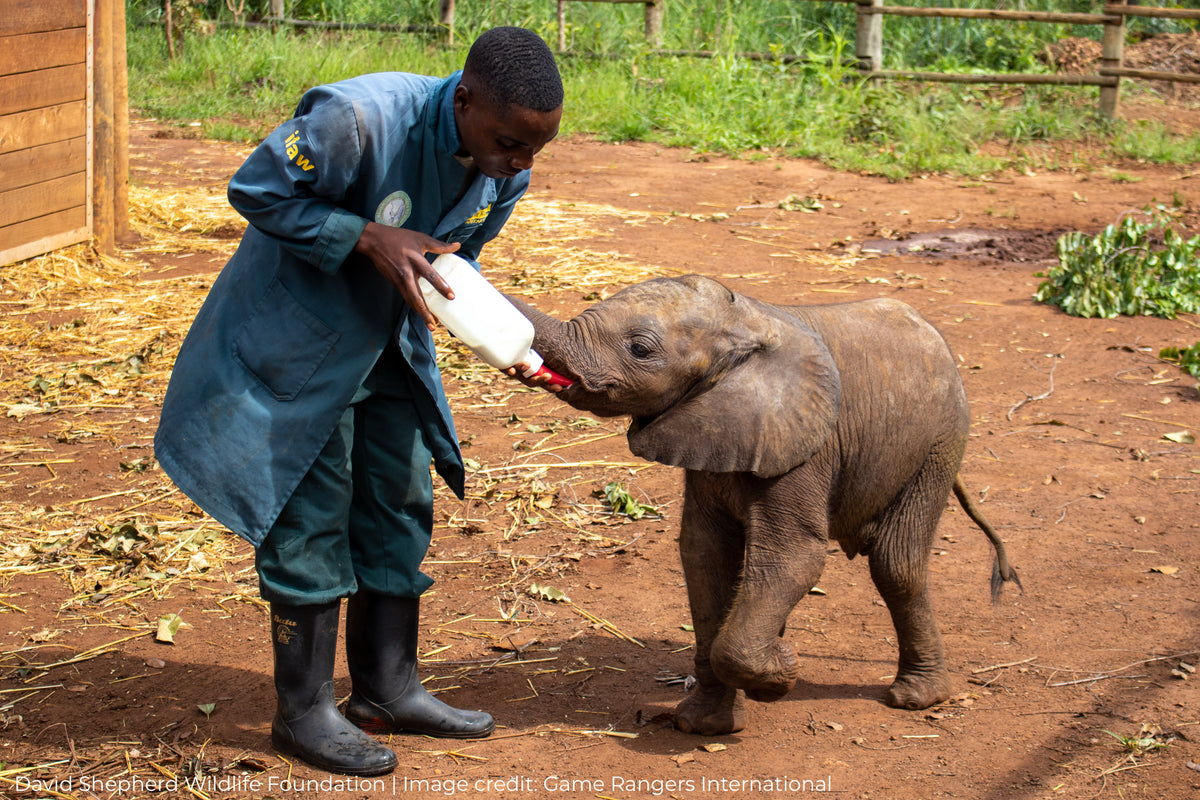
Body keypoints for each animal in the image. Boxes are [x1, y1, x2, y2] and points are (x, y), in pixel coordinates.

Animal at [507, 274, 1021, 736]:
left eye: (640, 348)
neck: (745, 323)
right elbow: (704, 555)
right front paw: (702, 726)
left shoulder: (804, 447)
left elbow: (792, 557)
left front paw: (780, 676)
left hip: (939, 444)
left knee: (896, 563)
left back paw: (915, 699)